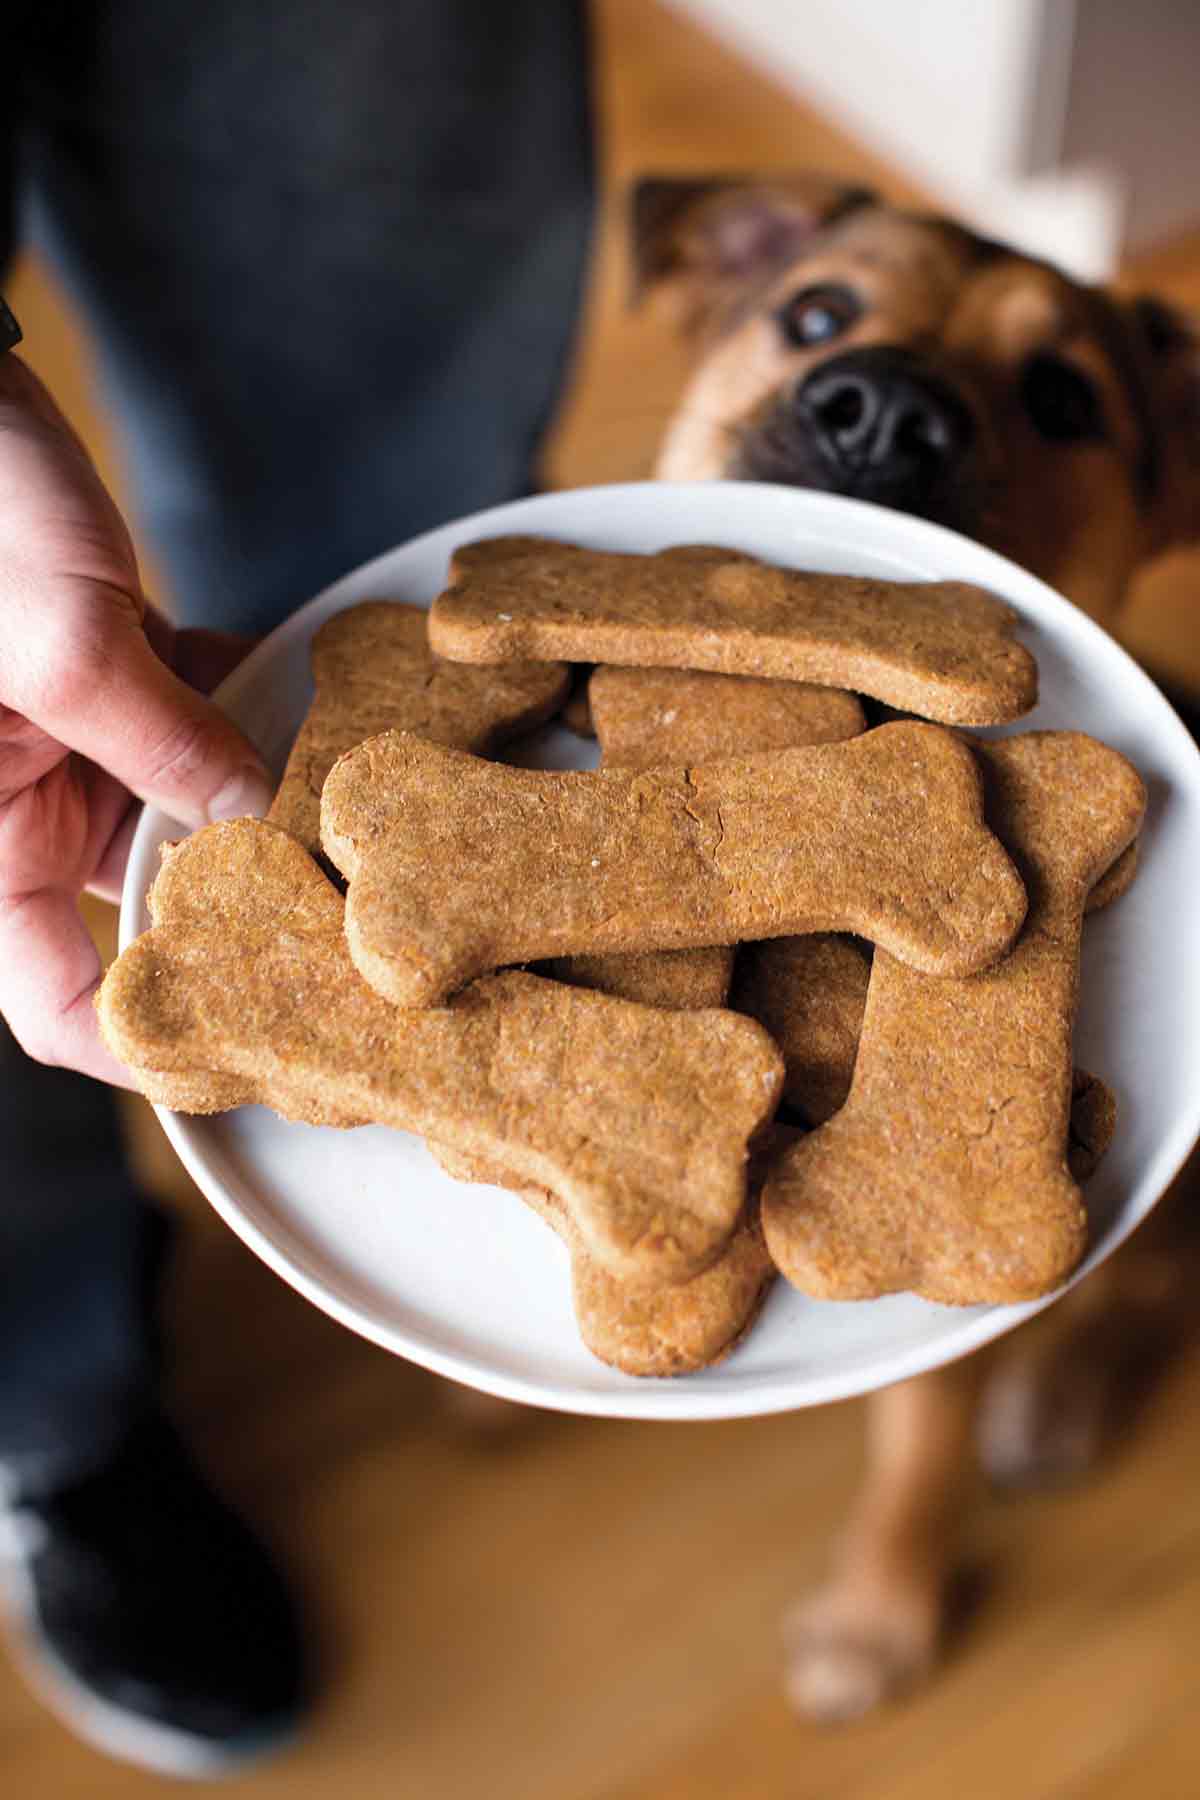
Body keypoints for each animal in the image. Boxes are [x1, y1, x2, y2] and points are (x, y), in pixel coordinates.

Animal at [633, 175, 1200, 1720]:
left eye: (1064, 398)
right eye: (815, 312)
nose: (885, 410)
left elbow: (921, 1444)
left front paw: (878, 1614)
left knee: (1149, 1294)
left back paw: (1061, 1399)